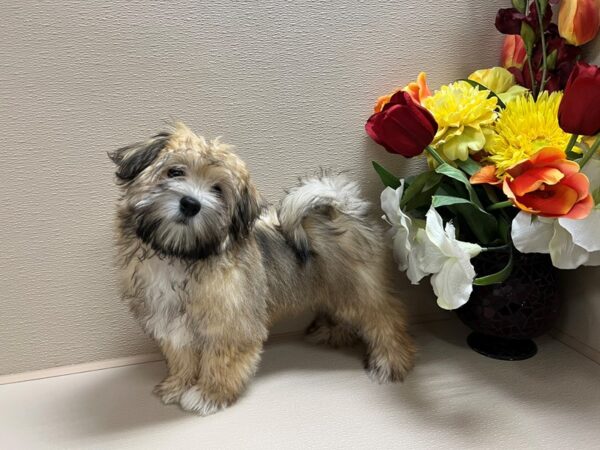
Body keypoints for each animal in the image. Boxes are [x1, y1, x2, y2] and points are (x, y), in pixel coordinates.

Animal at [110, 122, 414, 414]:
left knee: (386, 319)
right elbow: (182, 357)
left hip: (359, 289)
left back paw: (390, 362)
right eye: (174, 172)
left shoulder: (231, 328)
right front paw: (178, 385)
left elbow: (220, 363)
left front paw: (209, 395)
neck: (183, 255)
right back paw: (333, 333)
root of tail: (340, 210)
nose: (190, 204)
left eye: (217, 189)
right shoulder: (172, 325)